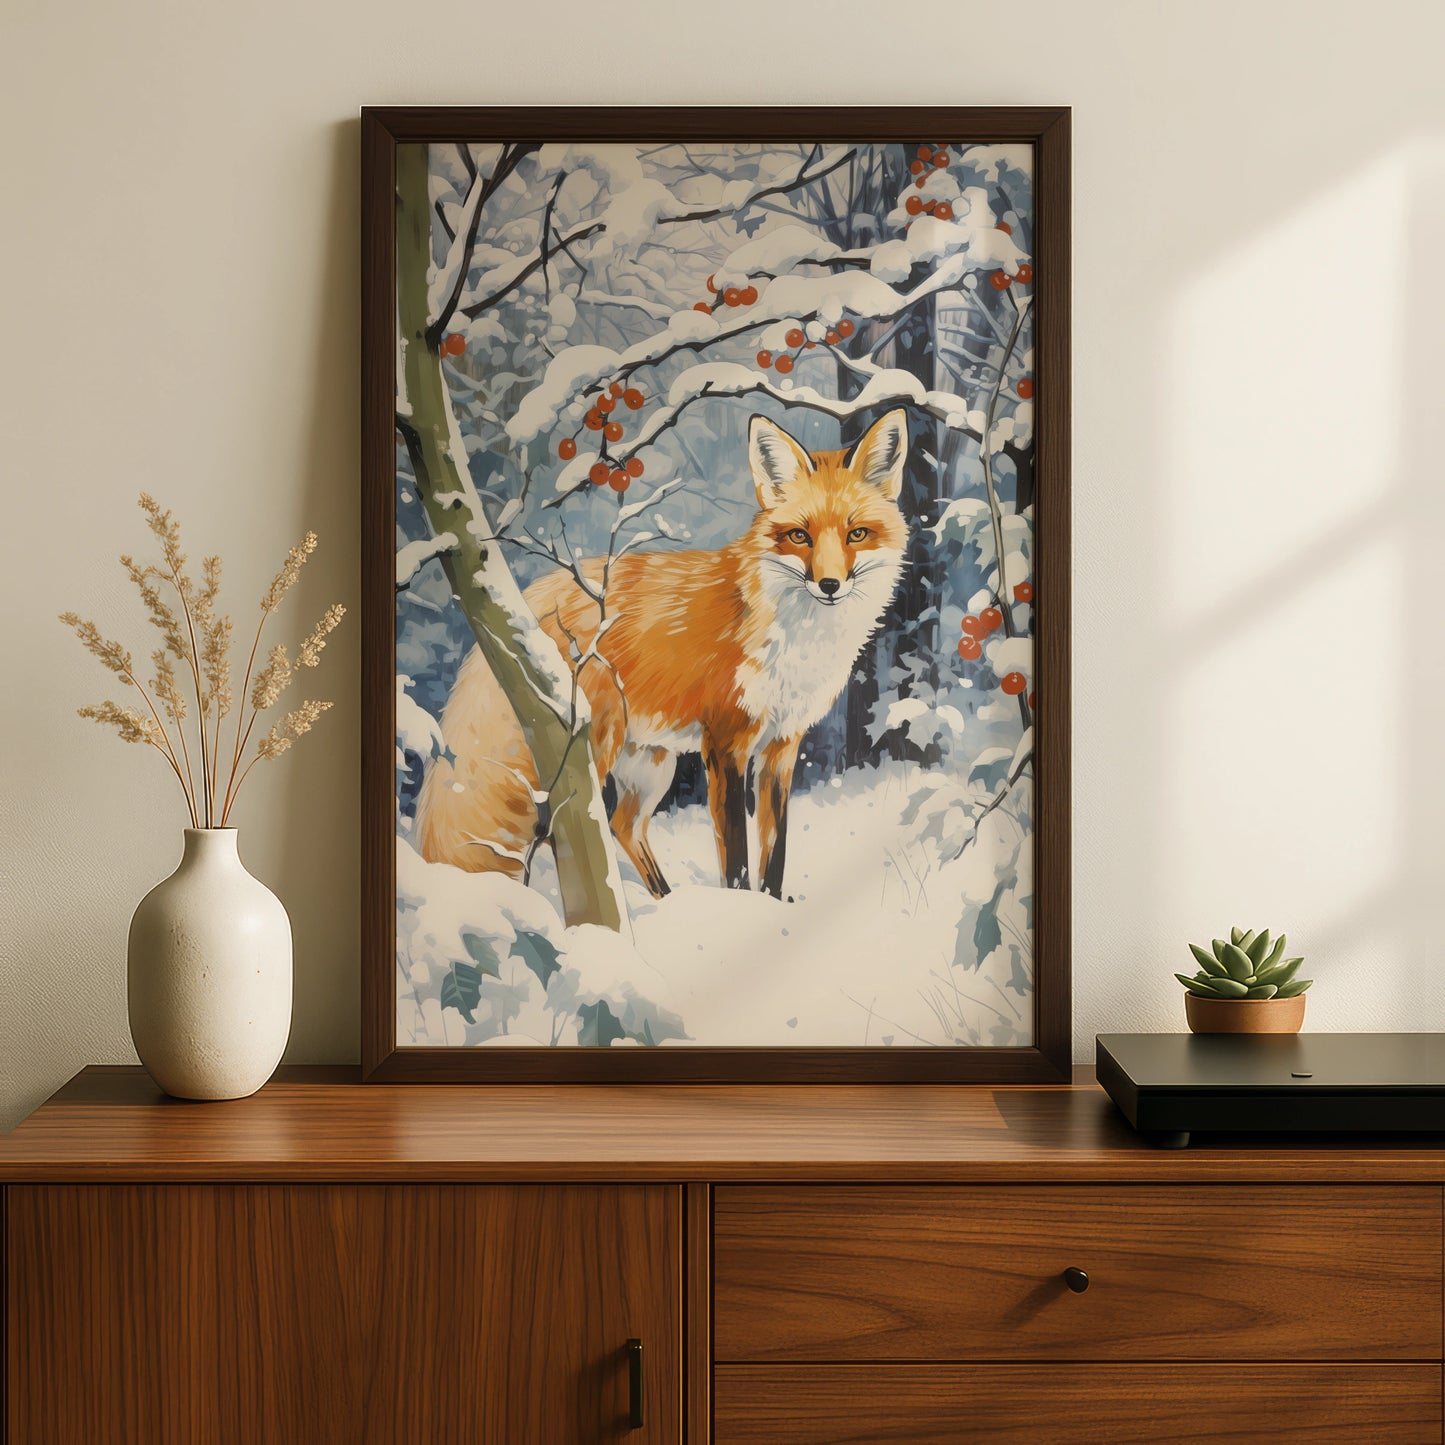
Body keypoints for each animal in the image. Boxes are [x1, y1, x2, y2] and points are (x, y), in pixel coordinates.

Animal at [416, 407, 910, 900]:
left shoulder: (782, 746)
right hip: (592, 745)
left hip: (651, 762)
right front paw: (739, 909)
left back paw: (667, 904)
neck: (794, 637)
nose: (829, 585)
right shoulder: (725, 742)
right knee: (567, 831)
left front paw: (768, 907)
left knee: (623, 826)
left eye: (857, 534)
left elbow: (775, 855)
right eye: (799, 536)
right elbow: (736, 858)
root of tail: (524, 602)